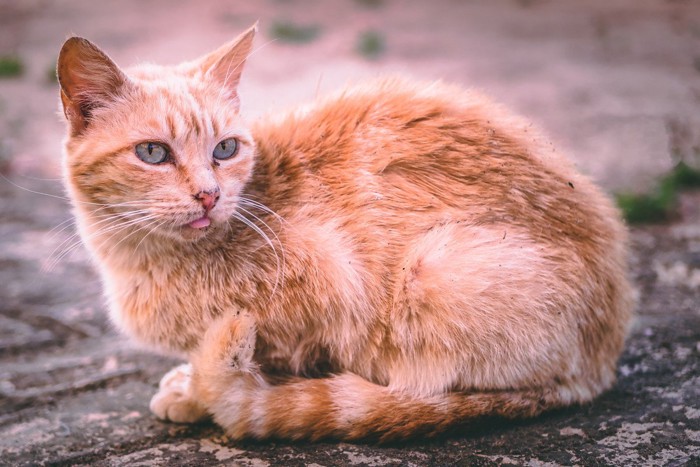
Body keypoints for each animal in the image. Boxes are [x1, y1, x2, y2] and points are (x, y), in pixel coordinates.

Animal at [54, 24, 636, 442]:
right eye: (153, 152)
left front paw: (196, 391)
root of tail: (604, 360)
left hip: (436, 269)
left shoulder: (328, 287)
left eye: (225, 149)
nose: (209, 195)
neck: (143, 258)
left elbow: (254, 363)